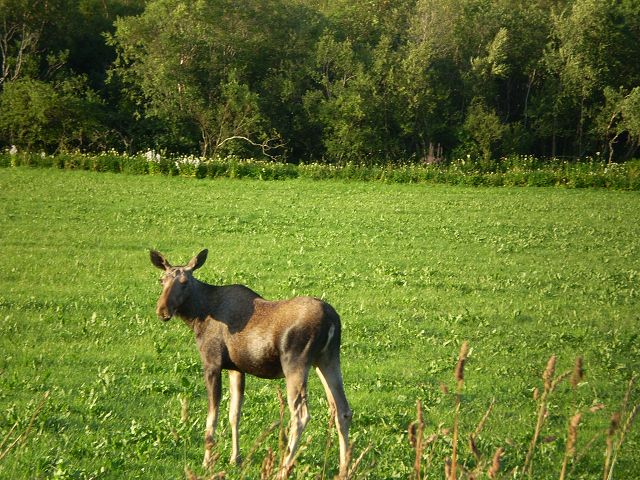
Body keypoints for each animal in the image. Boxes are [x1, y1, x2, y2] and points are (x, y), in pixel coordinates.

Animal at [149, 249, 352, 478]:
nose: (162, 310)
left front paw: (207, 462)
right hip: (327, 359)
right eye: (161, 280)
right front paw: (235, 459)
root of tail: (332, 320)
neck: (197, 317)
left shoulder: (212, 363)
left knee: (300, 415)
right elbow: (234, 414)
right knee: (342, 409)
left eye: (184, 282)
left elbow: (212, 417)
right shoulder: (236, 368)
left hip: (296, 363)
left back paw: (284, 469)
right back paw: (344, 469)